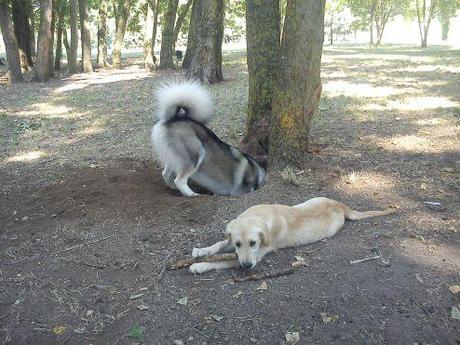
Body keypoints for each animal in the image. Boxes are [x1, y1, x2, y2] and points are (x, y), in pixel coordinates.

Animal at [190, 196, 396, 274]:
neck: (259, 216)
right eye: (238, 244)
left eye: (254, 243)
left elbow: (223, 261)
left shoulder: (258, 256)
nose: (247, 266)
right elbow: (219, 244)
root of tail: (338, 204)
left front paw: (200, 266)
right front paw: (201, 251)